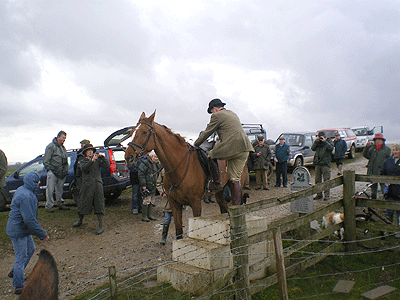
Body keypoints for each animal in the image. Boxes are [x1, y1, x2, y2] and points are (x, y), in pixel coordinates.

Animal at [125, 110, 245, 239]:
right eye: (132, 132)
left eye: (144, 132)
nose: (128, 156)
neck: (178, 168)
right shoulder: (174, 203)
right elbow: (178, 231)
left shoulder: (196, 203)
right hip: (219, 191)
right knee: (224, 208)